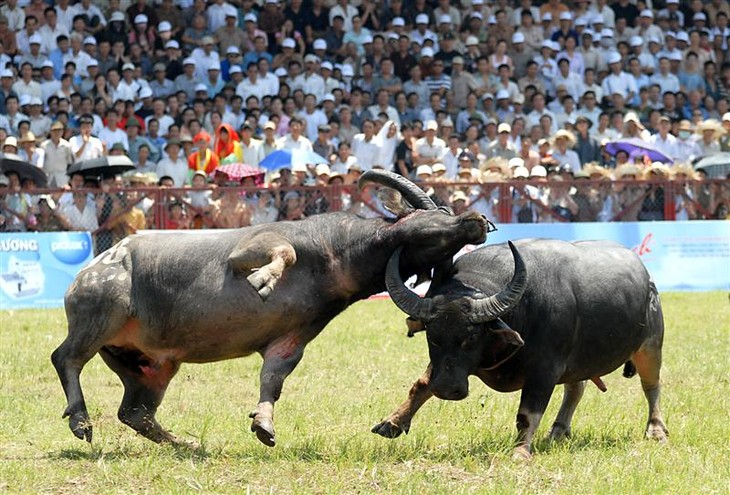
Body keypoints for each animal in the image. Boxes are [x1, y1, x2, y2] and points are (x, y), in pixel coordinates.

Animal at [49, 172, 484, 448]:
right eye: (432, 224)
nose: (476, 220)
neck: (336, 256)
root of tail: (86, 273)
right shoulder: (253, 247)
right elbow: (284, 252)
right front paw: (263, 280)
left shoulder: (292, 337)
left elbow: (273, 379)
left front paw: (264, 425)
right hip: (102, 314)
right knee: (65, 357)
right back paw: (81, 420)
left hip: (153, 365)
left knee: (135, 413)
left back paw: (187, 444)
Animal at [376, 238, 664, 460]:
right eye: (433, 337)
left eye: (471, 336)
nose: (447, 390)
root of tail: (647, 275)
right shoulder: (444, 365)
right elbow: (422, 385)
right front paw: (392, 422)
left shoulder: (544, 371)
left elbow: (527, 414)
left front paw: (520, 452)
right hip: (579, 360)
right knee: (576, 388)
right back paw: (558, 431)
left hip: (650, 346)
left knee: (651, 386)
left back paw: (656, 430)